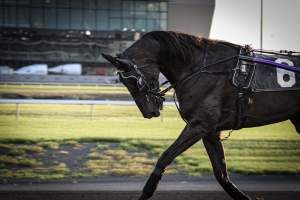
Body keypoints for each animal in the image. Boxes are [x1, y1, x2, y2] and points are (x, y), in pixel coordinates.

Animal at [101, 30, 300, 200]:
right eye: (123, 83)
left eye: (135, 81)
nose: (148, 112)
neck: (201, 67)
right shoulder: (210, 131)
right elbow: (221, 174)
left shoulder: (199, 124)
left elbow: (165, 156)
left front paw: (146, 192)